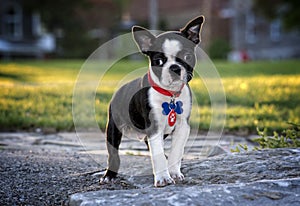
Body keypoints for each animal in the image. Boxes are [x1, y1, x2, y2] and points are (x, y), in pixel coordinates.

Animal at [101, 15, 204, 187]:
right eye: (159, 61)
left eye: (187, 57)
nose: (174, 68)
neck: (170, 95)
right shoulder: (154, 128)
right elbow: (158, 154)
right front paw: (163, 178)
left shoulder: (183, 127)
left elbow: (176, 151)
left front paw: (174, 172)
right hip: (113, 128)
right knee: (113, 154)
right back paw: (109, 175)